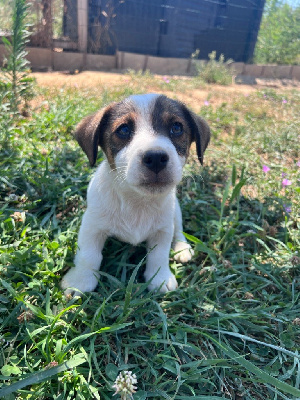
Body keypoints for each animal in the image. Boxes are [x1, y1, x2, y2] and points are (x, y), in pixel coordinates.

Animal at [61, 93, 210, 294]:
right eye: (123, 129)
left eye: (177, 128)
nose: (156, 158)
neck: (137, 201)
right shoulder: (92, 225)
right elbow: (88, 254)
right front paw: (80, 281)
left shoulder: (163, 229)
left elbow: (159, 255)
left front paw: (161, 278)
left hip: (175, 211)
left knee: (178, 229)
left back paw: (181, 248)